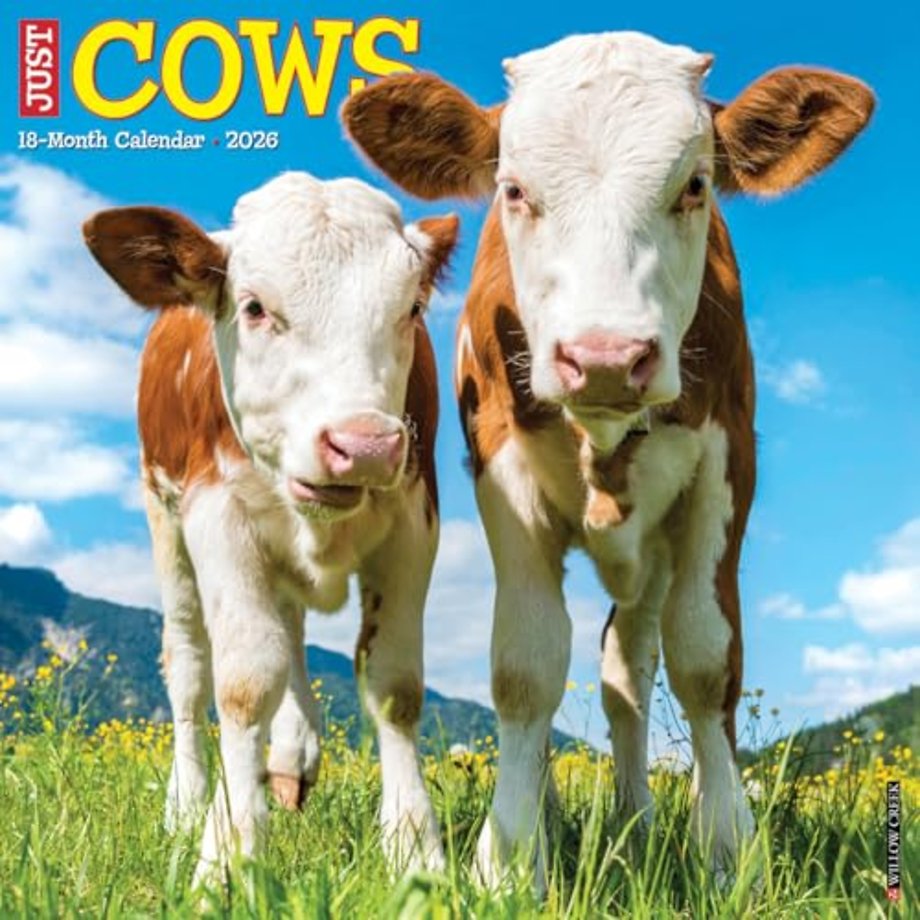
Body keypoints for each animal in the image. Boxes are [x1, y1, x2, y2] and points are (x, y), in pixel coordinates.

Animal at [82, 173, 458, 883]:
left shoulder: (414, 519)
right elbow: (245, 682)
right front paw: (227, 852)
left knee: (291, 628)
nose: (364, 445)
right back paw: (187, 802)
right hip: (163, 519)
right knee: (190, 663)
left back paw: (289, 753)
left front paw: (413, 846)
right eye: (254, 307)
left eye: (413, 309)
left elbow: (395, 685)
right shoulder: (216, 515)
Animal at [342, 31, 874, 887]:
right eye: (514, 190)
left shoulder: (726, 468)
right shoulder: (502, 470)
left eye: (695, 185)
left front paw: (728, 850)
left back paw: (634, 819)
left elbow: (704, 660)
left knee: (629, 671)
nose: (603, 358)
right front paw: (511, 855)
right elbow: (525, 665)